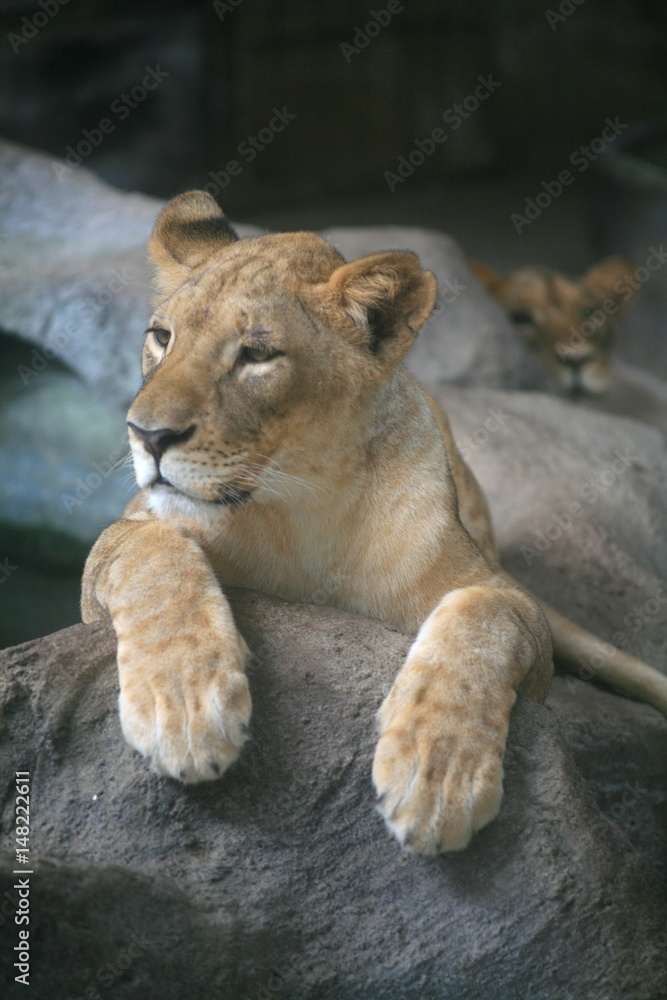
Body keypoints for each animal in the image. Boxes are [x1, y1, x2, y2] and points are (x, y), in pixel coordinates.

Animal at [81, 192, 667, 855]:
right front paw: (183, 708)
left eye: (257, 354)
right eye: (162, 337)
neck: (299, 506)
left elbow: (486, 614)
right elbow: (150, 552)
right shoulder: (123, 542)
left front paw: (436, 776)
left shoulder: (512, 610)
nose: (147, 435)